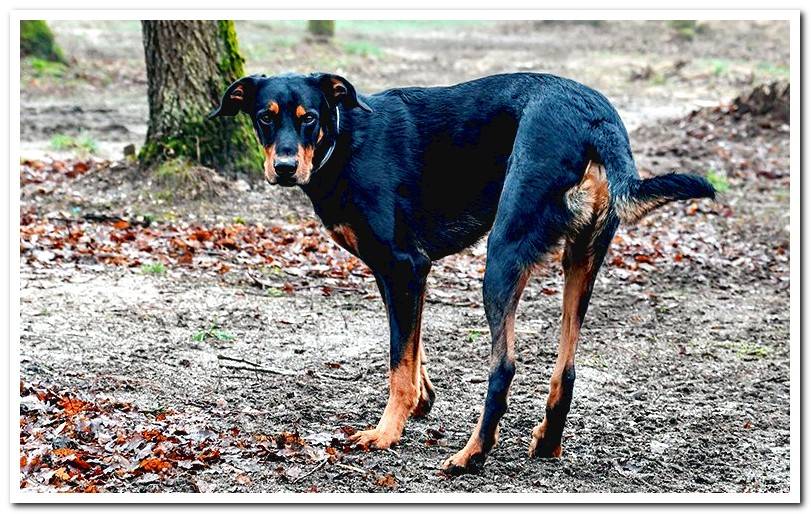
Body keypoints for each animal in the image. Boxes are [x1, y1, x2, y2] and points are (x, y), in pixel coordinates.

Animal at [211, 72, 716, 472]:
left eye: (309, 117)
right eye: (265, 118)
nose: (284, 167)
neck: (345, 141)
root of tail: (596, 119)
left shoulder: (404, 266)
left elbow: (398, 361)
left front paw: (387, 431)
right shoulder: (402, 275)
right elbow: (411, 348)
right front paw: (422, 399)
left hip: (502, 254)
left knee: (504, 366)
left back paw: (472, 455)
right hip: (582, 258)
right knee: (567, 369)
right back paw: (547, 442)